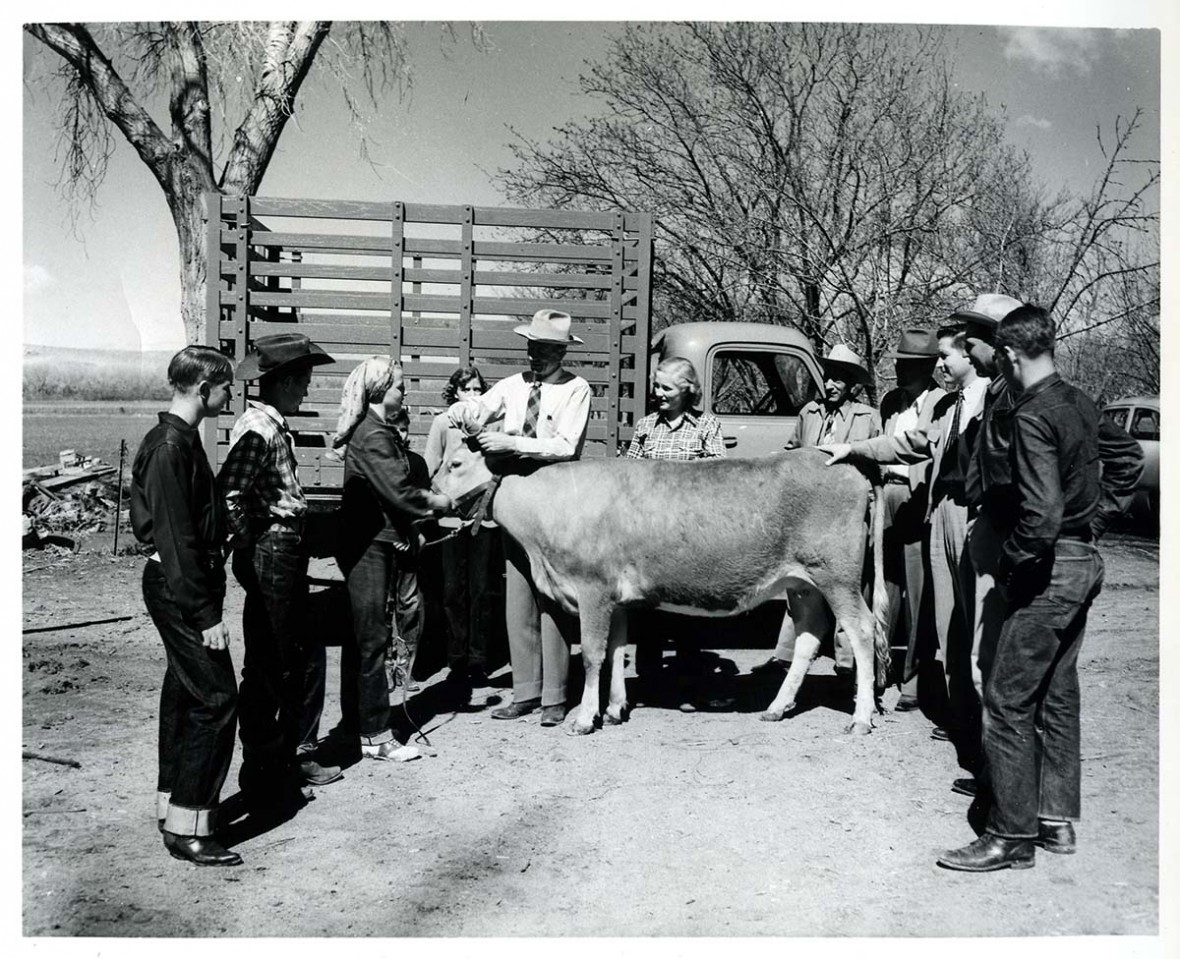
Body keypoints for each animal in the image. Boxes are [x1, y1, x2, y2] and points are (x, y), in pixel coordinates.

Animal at [434, 441, 887, 731]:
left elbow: (593, 655)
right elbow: (617, 650)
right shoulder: (616, 599)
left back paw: (861, 717)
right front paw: (614, 709)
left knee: (862, 631)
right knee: (810, 636)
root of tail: (842, 461)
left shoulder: (593, 589)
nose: (429, 492)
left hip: (837, 575)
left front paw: (584, 718)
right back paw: (777, 707)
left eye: (455, 464)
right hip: (801, 583)